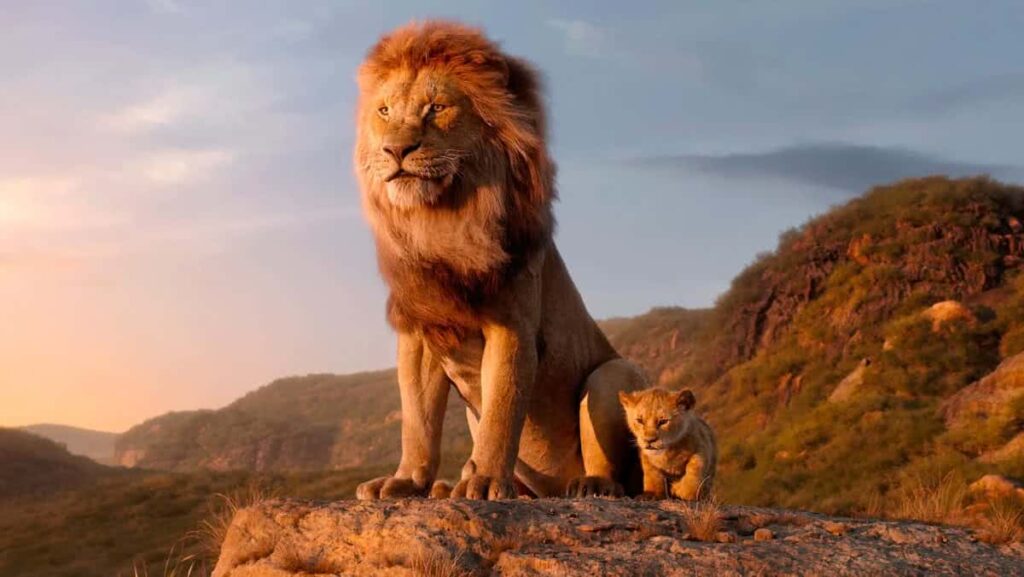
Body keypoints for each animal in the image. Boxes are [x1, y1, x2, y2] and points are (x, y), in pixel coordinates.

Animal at [352, 20, 647, 500]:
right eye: (384, 111)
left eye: (437, 108)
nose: (395, 150)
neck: (441, 221)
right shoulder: (420, 332)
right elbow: (417, 420)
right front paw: (406, 480)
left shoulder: (512, 327)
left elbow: (502, 411)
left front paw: (487, 480)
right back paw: (448, 486)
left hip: (612, 374)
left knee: (616, 469)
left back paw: (590, 485)